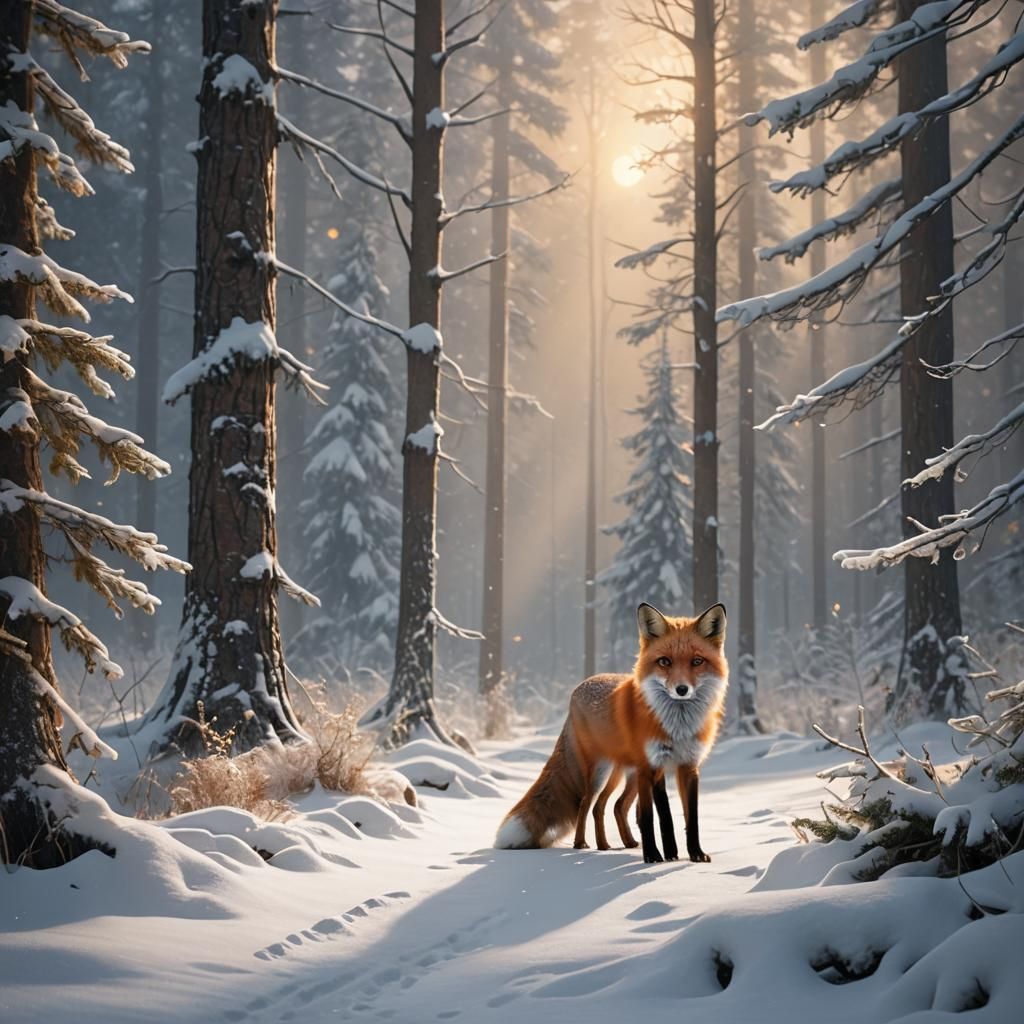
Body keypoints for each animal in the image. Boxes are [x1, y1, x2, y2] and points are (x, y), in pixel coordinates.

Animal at [494, 602, 728, 864]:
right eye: (664, 662)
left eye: (697, 661)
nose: (681, 689)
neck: (677, 726)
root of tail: (581, 686)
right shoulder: (652, 765)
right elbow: (658, 816)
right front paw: (659, 856)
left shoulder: (688, 766)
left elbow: (691, 817)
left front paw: (694, 854)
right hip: (601, 770)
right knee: (587, 803)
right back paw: (582, 844)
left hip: (625, 774)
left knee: (612, 806)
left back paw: (615, 844)